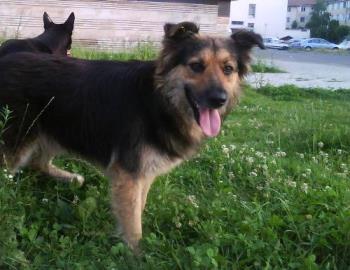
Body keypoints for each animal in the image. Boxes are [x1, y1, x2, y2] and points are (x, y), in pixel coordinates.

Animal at [0, 22, 262, 252]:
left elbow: (138, 207)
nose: (219, 99)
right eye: (196, 66)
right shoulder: (129, 173)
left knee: (38, 162)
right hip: (20, 140)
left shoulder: (142, 173)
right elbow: (133, 224)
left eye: (228, 69)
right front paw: (137, 255)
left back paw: (71, 178)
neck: (158, 100)